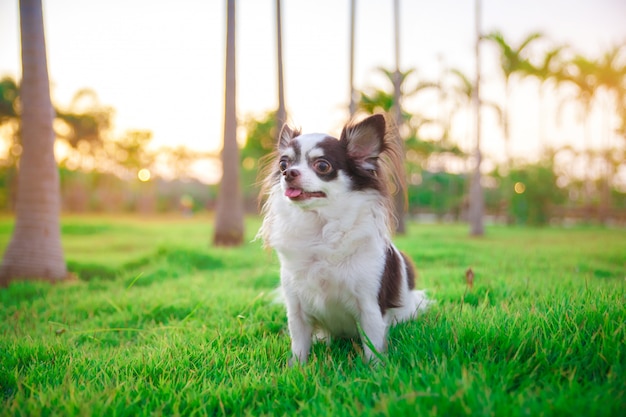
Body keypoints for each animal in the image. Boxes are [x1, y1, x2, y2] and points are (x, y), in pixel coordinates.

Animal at [258, 112, 428, 362]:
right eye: (283, 164)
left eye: (322, 165)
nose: (288, 173)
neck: (320, 229)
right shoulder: (296, 306)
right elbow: (299, 343)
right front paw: (296, 367)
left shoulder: (370, 305)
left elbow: (372, 345)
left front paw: (376, 369)